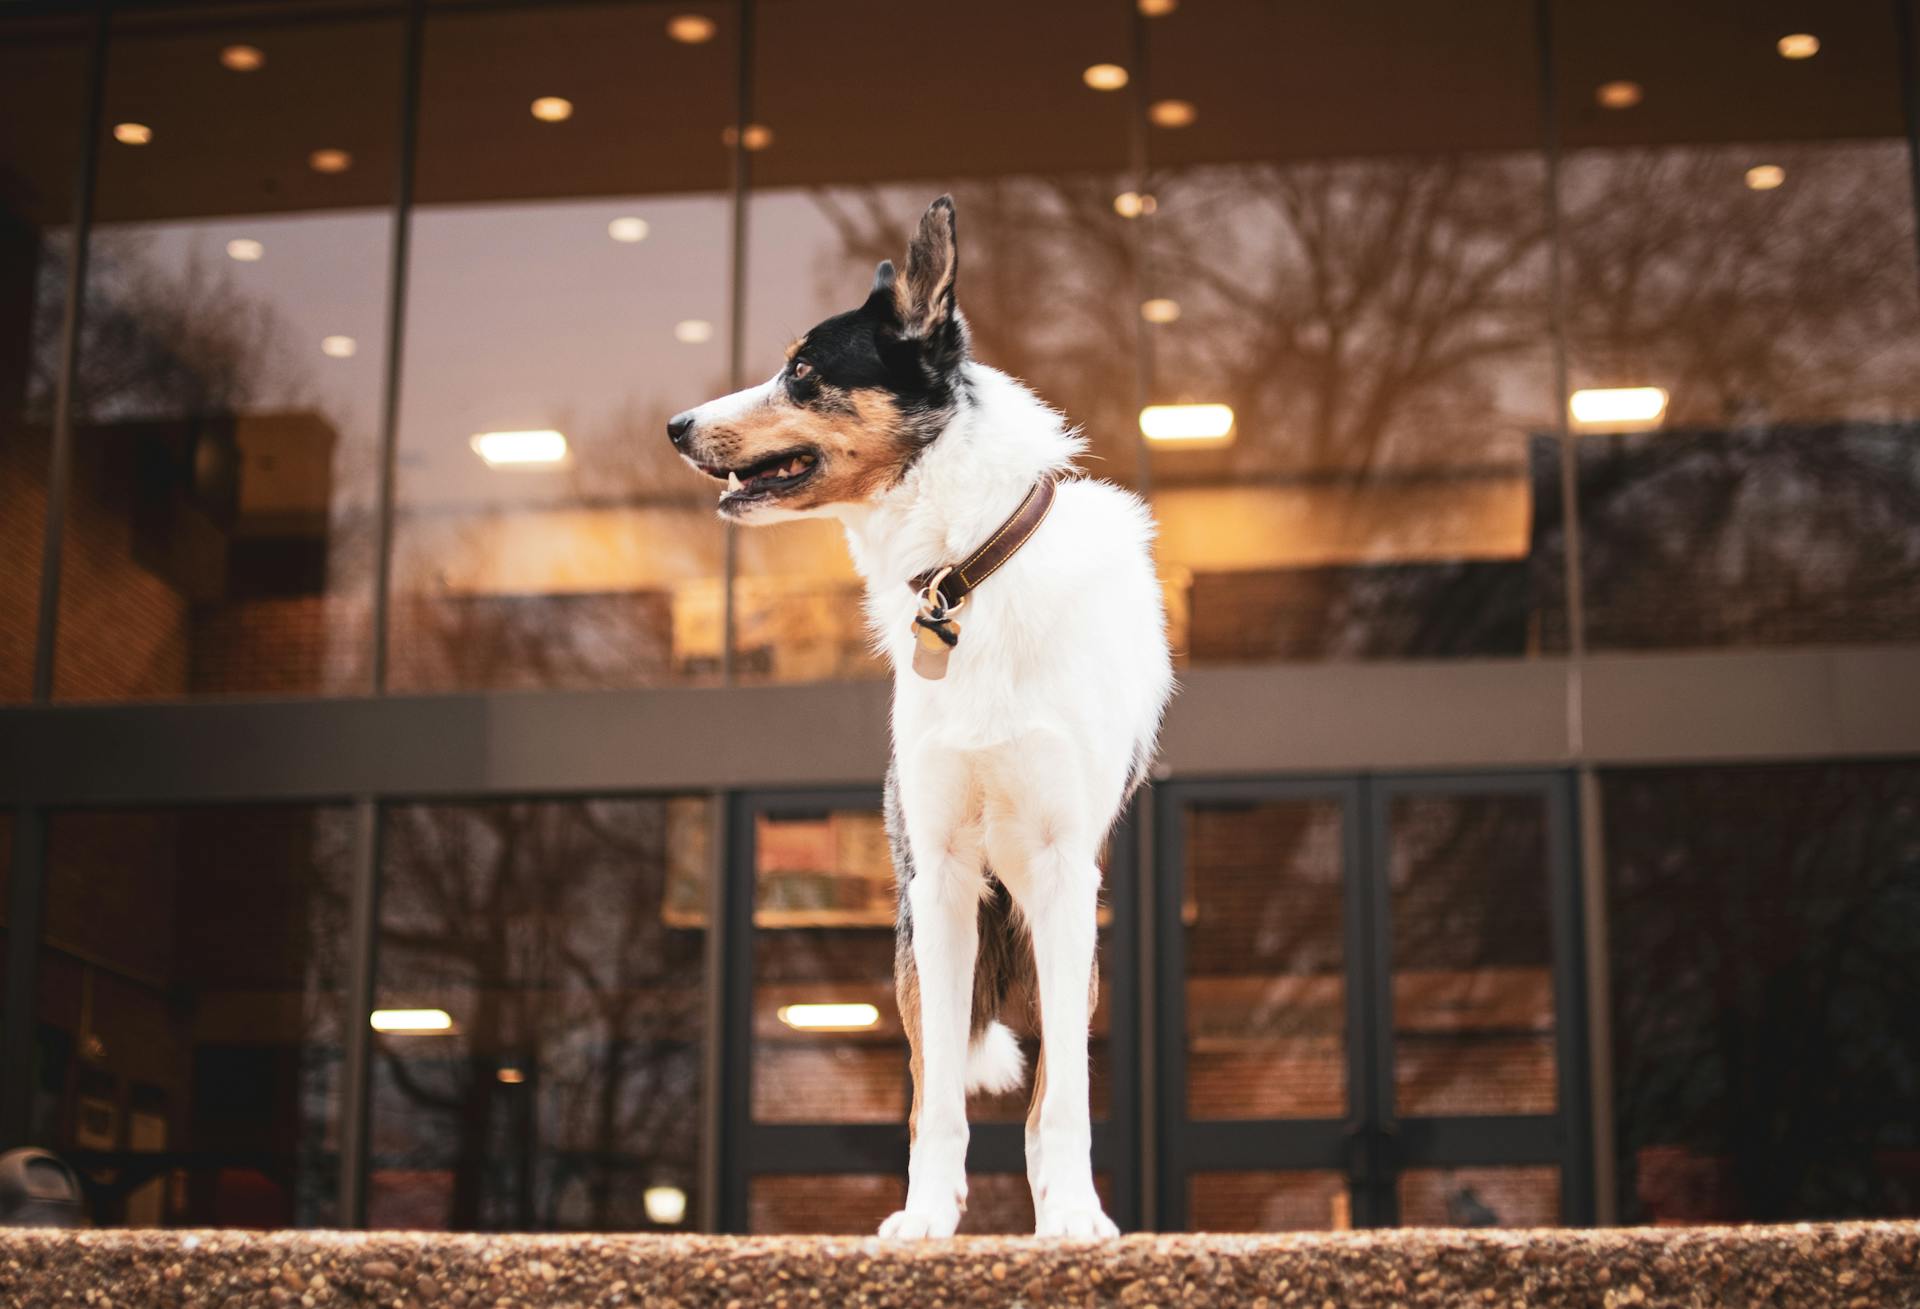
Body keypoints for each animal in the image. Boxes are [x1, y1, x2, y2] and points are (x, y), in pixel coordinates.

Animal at [668, 193, 1175, 1236]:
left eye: (803, 370)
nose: (675, 425)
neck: (965, 566)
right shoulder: (935, 875)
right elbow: (936, 1092)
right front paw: (928, 1217)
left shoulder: (1063, 871)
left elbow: (1063, 1100)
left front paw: (1073, 1217)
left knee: (1053, 1081)